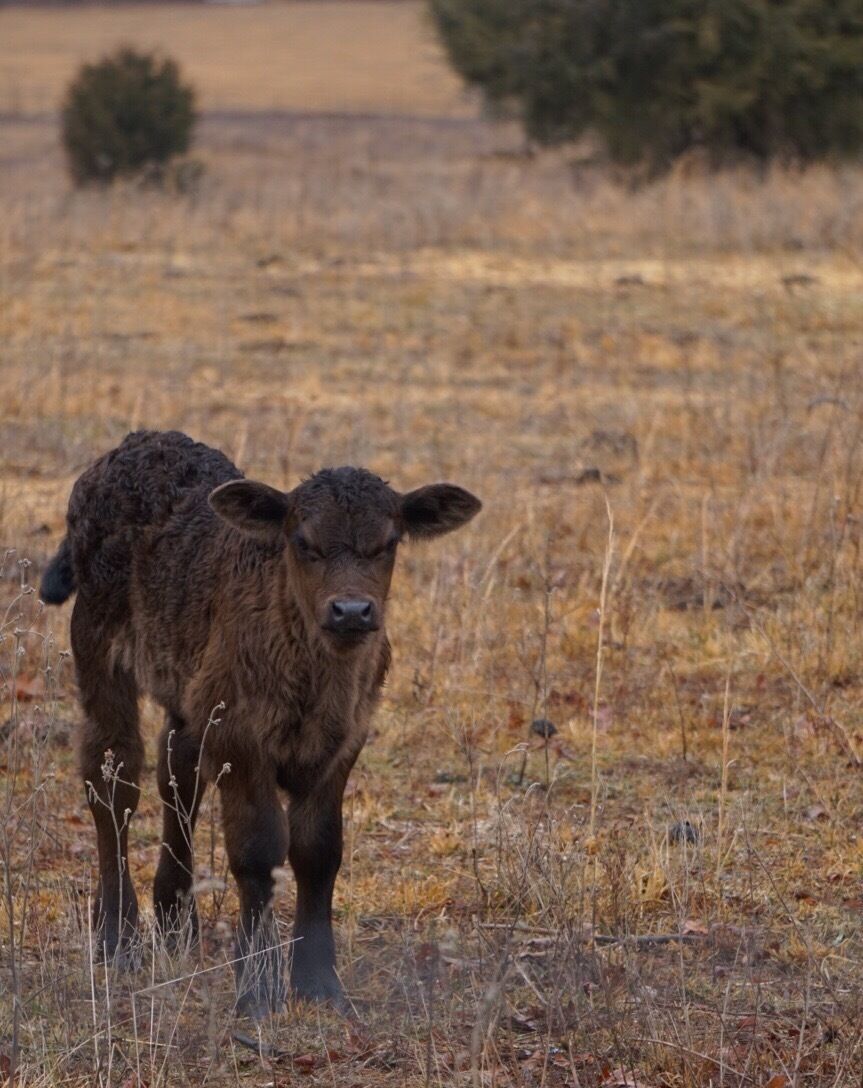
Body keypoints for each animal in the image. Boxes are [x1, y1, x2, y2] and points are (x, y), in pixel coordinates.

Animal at [40, 430, 481, 1017]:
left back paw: (177, 922)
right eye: (303, 542)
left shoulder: (344, 741)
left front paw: (319, 983)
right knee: (113, 777)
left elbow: (319, 851)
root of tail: (133, 445)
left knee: (177, 769)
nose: (351, 611)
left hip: (189, 689)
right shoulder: (241, 739)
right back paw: (118, 938)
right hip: (97, 647)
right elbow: (257, 852)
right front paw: (256, 987)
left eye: (388, 542)